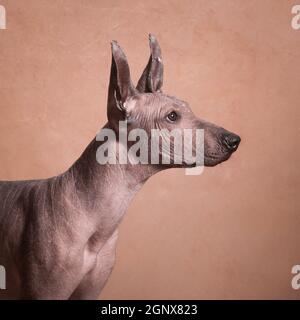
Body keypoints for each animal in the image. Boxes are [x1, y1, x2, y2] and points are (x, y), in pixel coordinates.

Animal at [0, 35, 240, 300]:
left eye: (188, 108)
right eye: (172, 116)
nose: (234, 140)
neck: (94, 219)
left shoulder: (89, 293)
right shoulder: (45, 293)